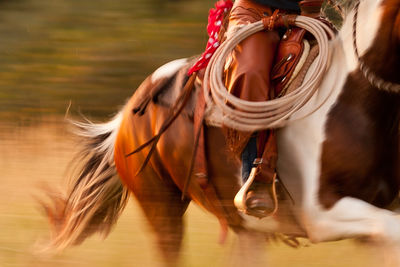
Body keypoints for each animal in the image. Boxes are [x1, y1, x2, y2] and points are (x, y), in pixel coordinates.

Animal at [39, 0, 400, 266]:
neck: (355, 100)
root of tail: (129, 112)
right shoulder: (321, 214)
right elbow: (390, 229)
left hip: (248, 233)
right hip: (161, 209)